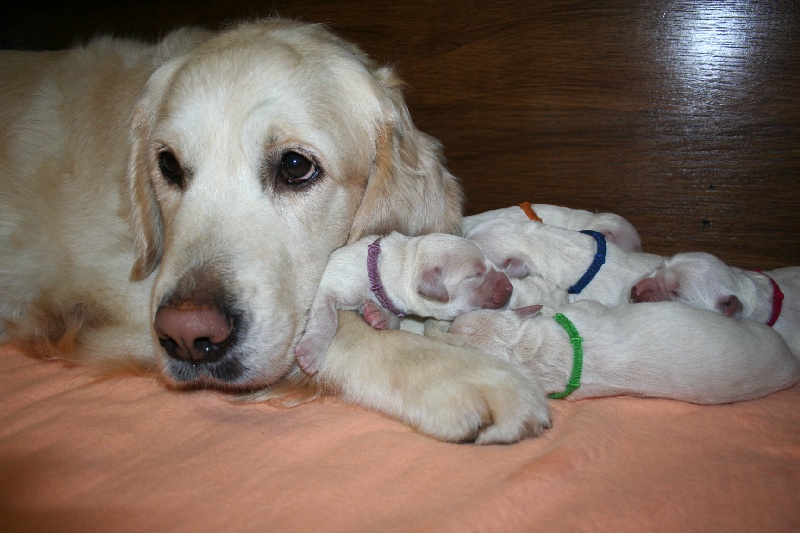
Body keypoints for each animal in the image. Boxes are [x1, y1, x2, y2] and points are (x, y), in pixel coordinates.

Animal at [294, 231, 512, 372]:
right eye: (474, 274)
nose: (510, 287)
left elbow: (394, 320)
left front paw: (377, 315)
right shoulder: (326, 288)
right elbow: (327, 318)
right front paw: (312, 351)